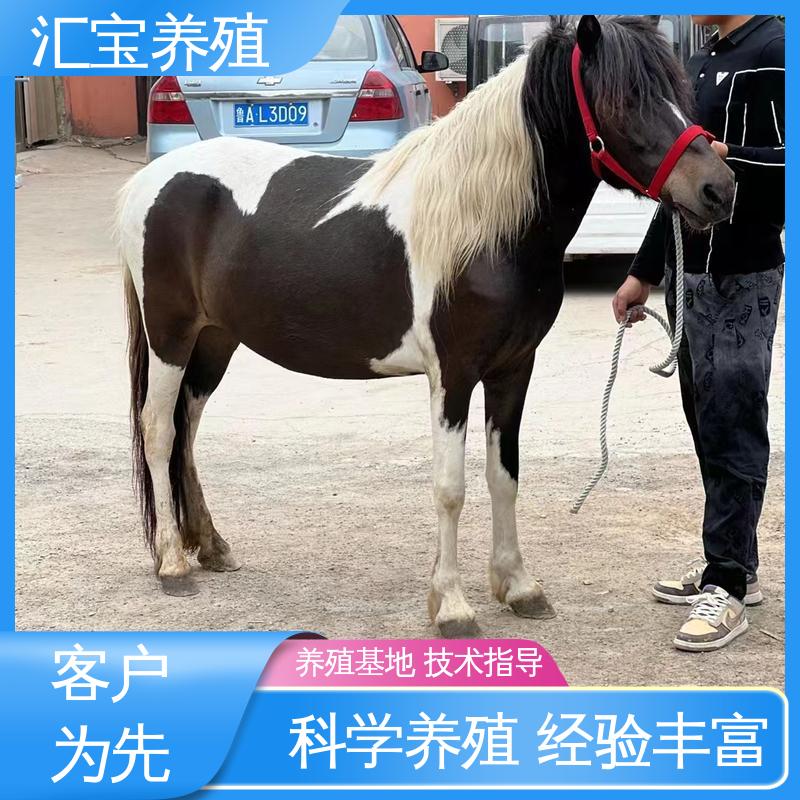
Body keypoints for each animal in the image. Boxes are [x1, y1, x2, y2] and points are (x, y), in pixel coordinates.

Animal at [118, 15, 734, 637]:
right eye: (624, 98)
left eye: (677, 90)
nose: (719, 188)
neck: (485, 227)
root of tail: (149, 182)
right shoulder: (454, 376)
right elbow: (450, 488)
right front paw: (453, 606)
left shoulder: (514, 369)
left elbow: (504, 476)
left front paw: (518, 587)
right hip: (171, 336)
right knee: (160, 429)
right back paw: (173, 565)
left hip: (215, 339)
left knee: (188, 428)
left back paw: (210, 545)